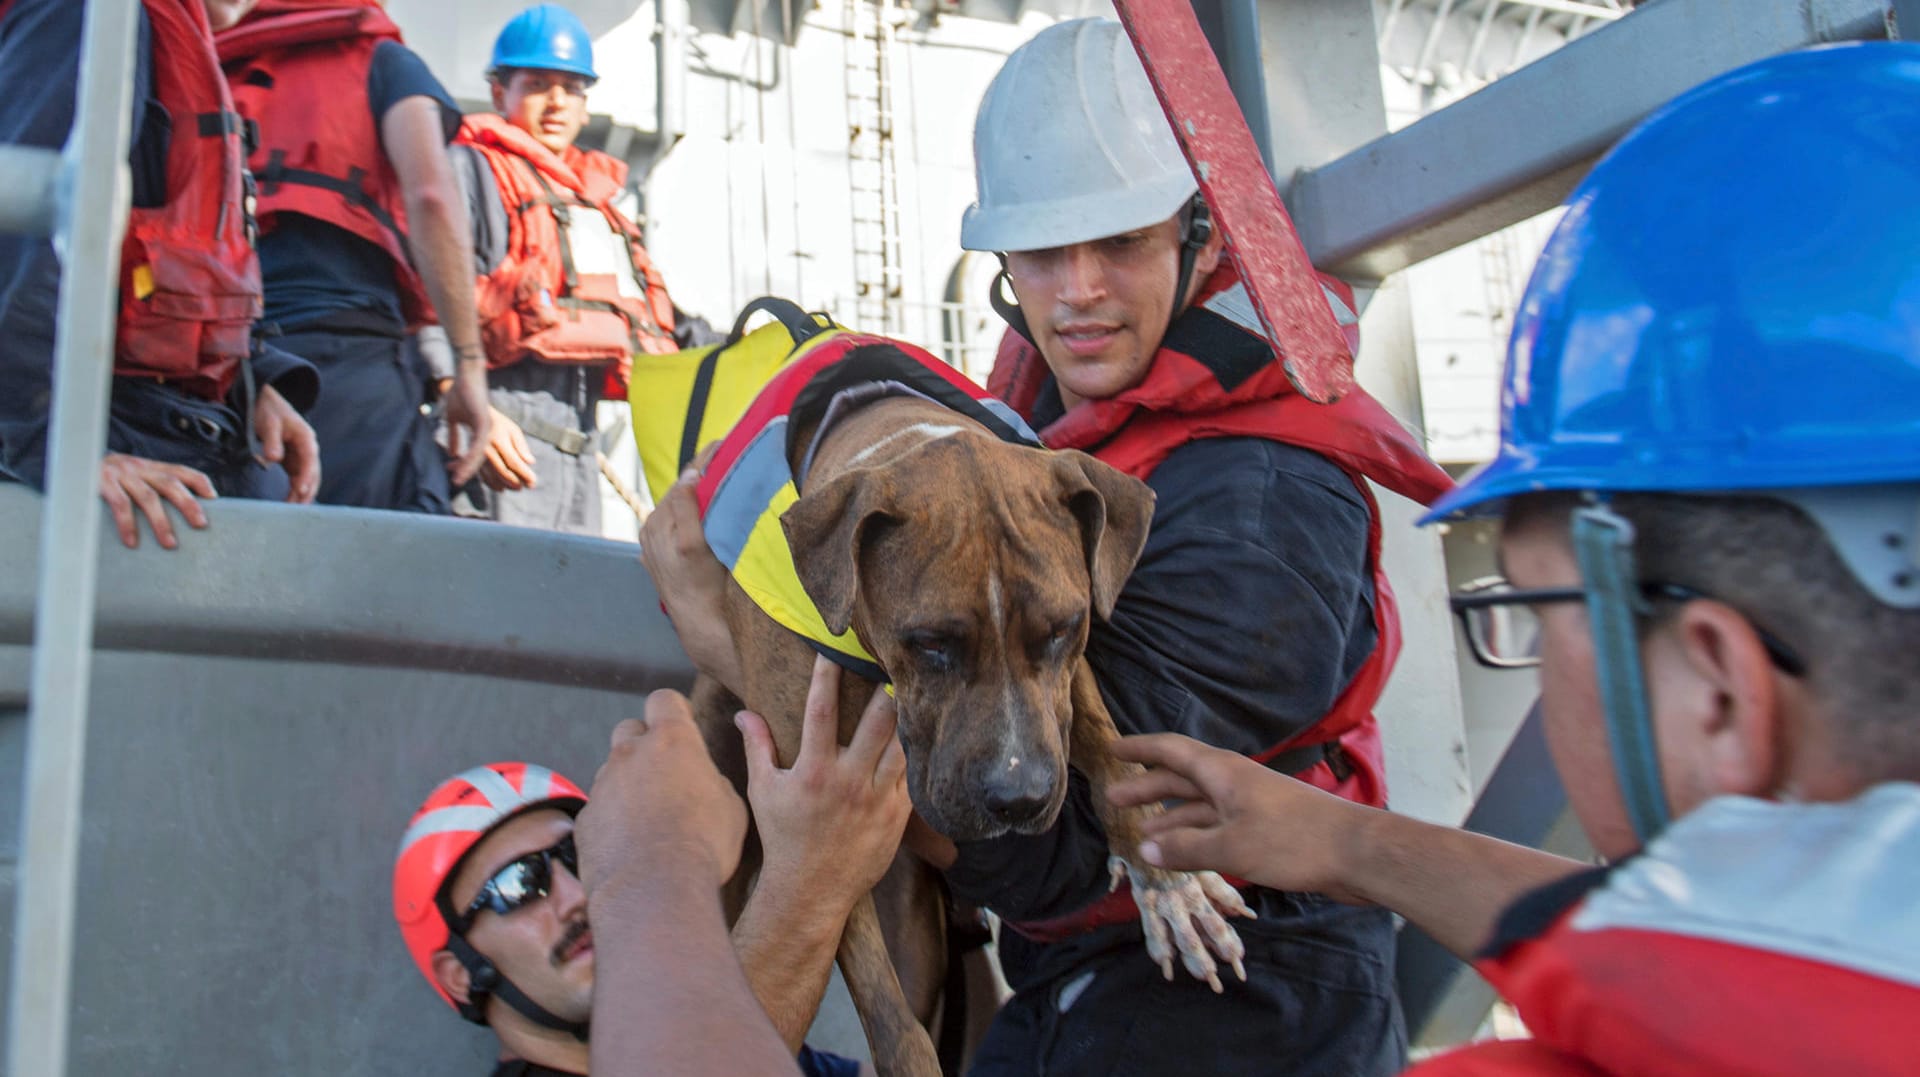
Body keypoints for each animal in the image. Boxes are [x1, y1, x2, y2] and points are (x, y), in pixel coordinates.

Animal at [698, 383, 1251, 1067]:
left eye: (1063, 629)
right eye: (930, 642)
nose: (1019, 799)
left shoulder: (1068, 681)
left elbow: (1110, 748)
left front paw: (1169, 884)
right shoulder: (810, 814)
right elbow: (885, 1007)